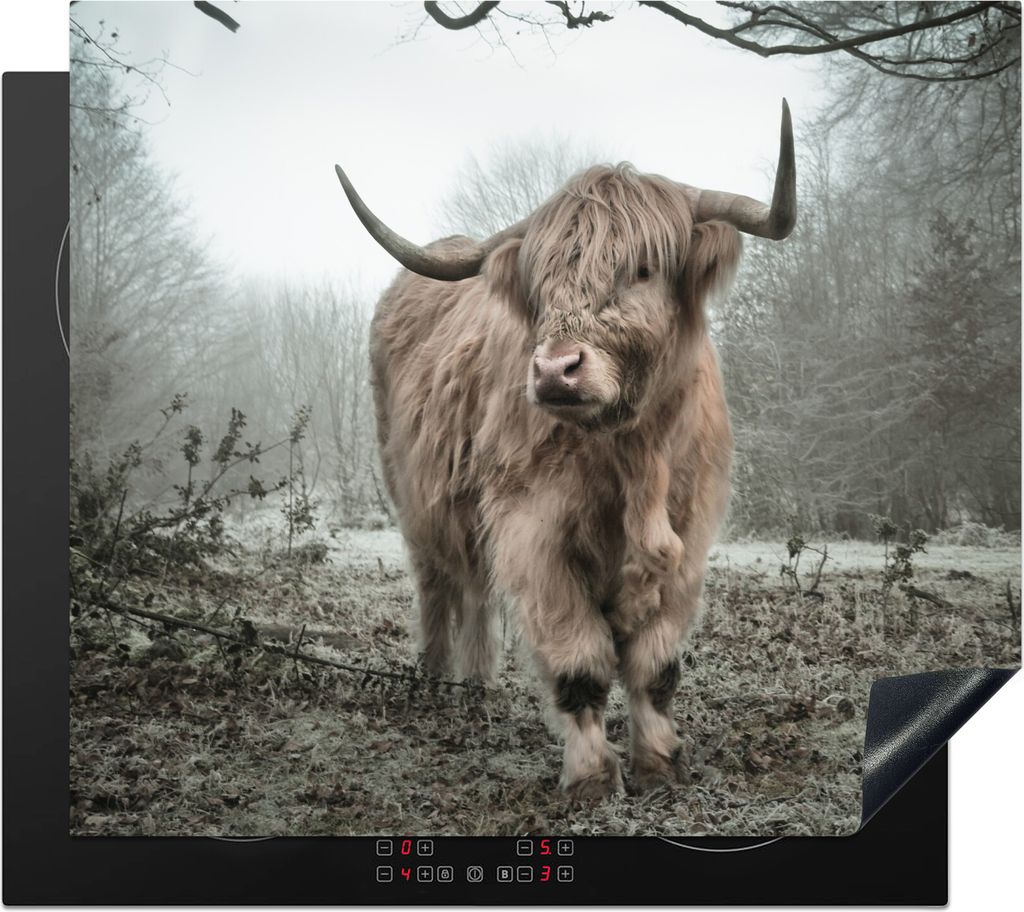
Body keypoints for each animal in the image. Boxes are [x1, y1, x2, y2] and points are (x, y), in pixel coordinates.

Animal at [334, 102, 796, 800]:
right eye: (543, 281)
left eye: (642, 268)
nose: (555, 370)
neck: (633, 458)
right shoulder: (534, 533)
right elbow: (580, 663)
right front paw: (592, 779)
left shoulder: (689, 537)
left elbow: (656, 666)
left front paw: (660, 764)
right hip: (415, 500)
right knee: (439, 585)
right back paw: (437, 682)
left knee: (475, 589)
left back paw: (477, 685)